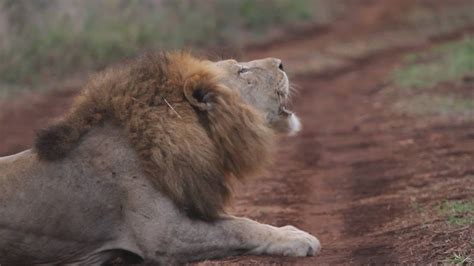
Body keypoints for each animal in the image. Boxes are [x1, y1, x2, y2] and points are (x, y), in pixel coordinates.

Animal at [0, 52, 320, 264]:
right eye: (241, 70)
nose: (281, 63)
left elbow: (239, 220)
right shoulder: (165, 235)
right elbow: (240, 227)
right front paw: (297, 238)